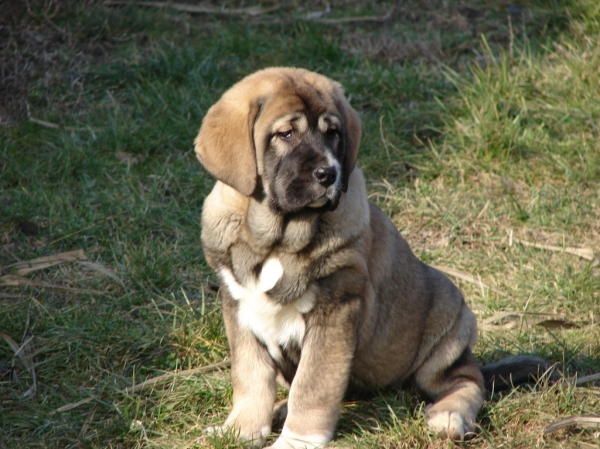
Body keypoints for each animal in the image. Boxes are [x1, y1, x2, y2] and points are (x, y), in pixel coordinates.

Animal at [195, 68, 552, 446]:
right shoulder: (239, 306)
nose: (328, 174)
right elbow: (250, 375)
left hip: (450, 322)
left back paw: (449, 415)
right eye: (286, 133)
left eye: (332, 133)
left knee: (467, 380)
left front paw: (298, 440)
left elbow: (312, 385)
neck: (277, 240)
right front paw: (242, 429)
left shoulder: (335, 309)